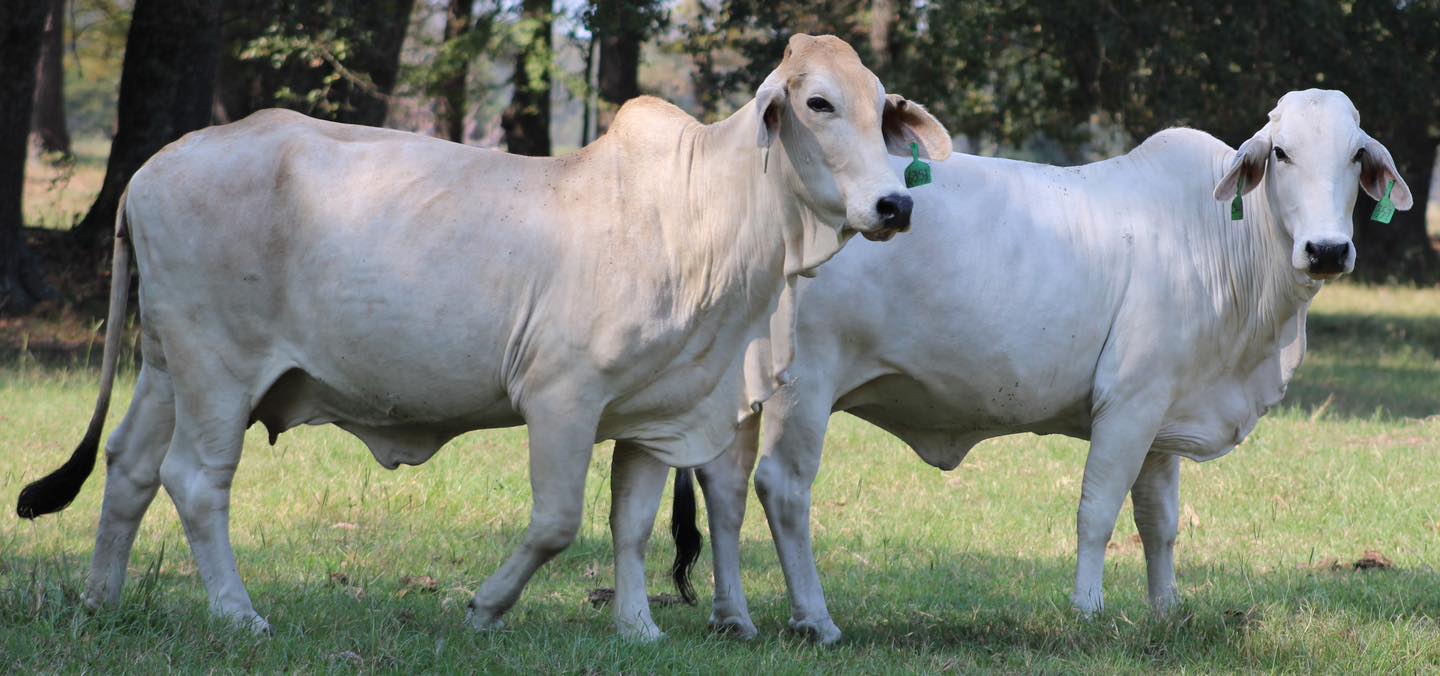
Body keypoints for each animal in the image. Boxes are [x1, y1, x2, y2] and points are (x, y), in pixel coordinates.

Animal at [671, 89, 1405, 642]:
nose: (1327, 249)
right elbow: (1099, 511)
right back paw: (815, 620)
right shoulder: (1128, 405)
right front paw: (1088, 610)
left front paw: (1166, 611)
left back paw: (734, 617)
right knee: (782, 489)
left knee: (723, 485)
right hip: (807, 384)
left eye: (1355, 153)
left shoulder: (1162, 418)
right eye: (1281, 152)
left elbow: (1160, 523)